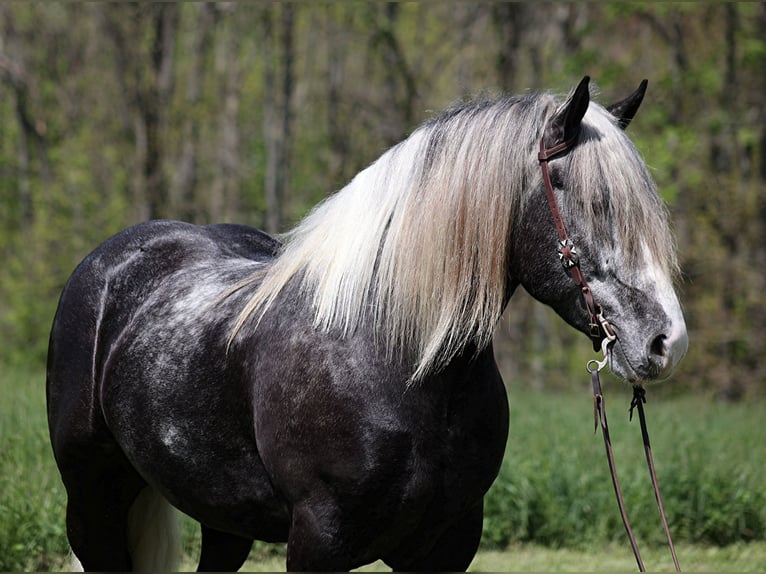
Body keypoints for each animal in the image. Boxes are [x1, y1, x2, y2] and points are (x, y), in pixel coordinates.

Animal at [46, 75, 688, 572]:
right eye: (597, 203)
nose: (667, 342)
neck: (389, 358)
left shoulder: (446, 546)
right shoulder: (317, 543)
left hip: (222, 517)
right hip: (93, 501)